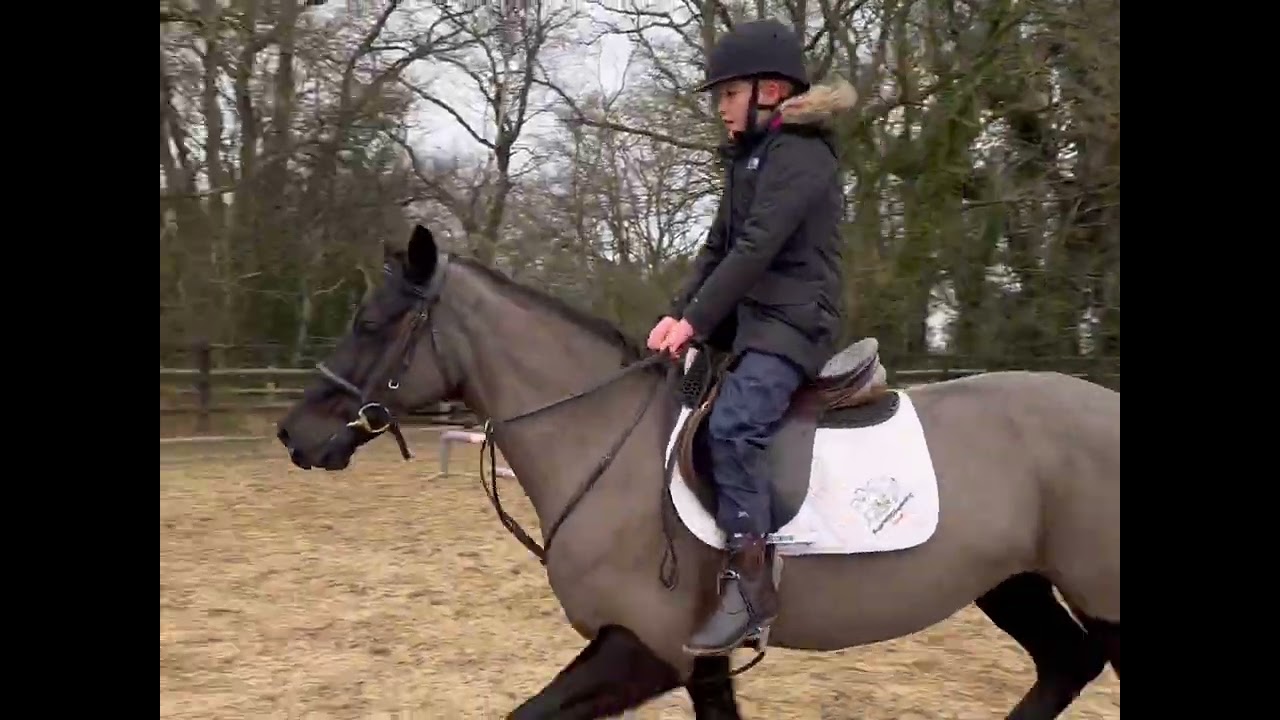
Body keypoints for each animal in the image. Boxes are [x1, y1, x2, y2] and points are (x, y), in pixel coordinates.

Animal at [275, 224, 1120, 720]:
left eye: (372, 323)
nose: (294, 433)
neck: (604, 445)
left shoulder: (645, 649)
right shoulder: (697, 663)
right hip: (1013, 583)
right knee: (1064, 665)